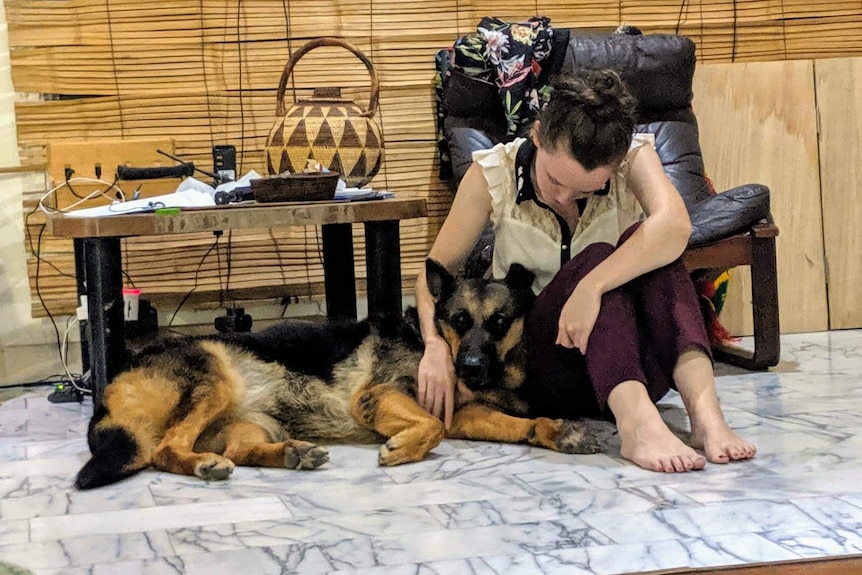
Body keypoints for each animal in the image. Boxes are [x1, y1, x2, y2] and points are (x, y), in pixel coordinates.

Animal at [76, 260, 600, 490]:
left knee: (242, 449)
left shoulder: (466, 416)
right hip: (211, 379)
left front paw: (557, 432)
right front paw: (403, 448)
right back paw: (205, 465)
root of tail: (110, 391)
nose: (471, 369)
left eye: (498, 323)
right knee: (165, 449)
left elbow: (519, 426)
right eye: (457, 320)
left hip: (256, 422)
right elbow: (430, 426)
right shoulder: (378, 396)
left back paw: (293, 454)